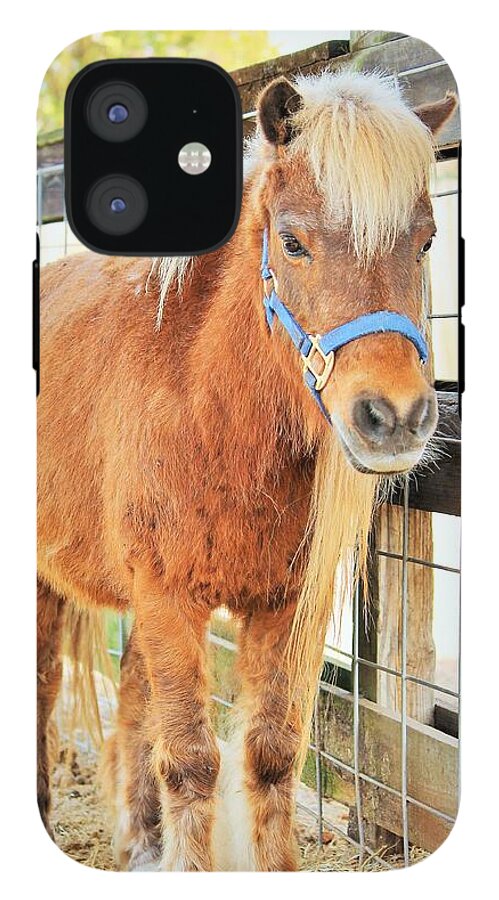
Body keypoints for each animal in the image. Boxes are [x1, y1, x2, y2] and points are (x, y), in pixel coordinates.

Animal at [37, 68, 457, 871]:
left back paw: (140, 844)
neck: (209, 410)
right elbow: (191, 761)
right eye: (291, 243)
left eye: (425, 242)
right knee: (45, 684)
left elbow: (269, 755)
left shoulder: (285, 605)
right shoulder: (168, 597)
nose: (393, 417)